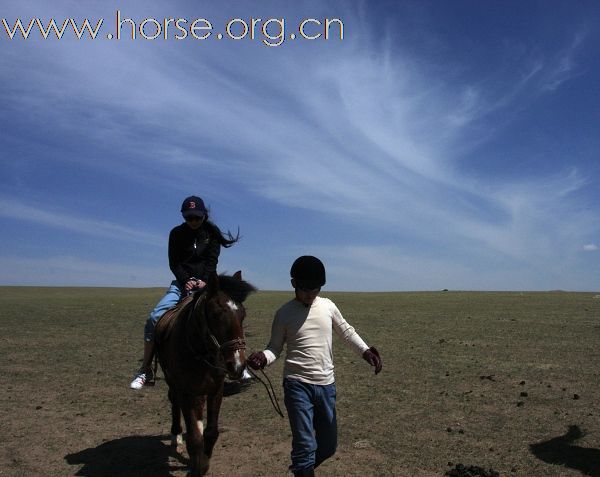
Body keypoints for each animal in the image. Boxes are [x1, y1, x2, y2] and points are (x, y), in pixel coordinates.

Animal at [155, 270, 255, 474]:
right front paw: (196, 466)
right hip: (172, 382)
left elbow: (211, 432)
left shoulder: (216, 390)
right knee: (174, 402)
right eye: (216, 314)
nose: (237, 365)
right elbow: (194, 438)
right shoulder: (185, 392)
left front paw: (204, 461)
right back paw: (176, 436)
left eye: (242, 314)